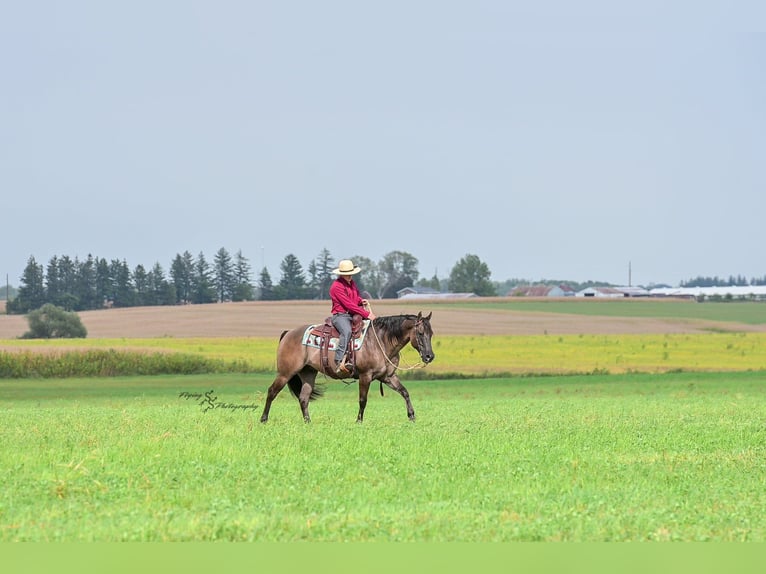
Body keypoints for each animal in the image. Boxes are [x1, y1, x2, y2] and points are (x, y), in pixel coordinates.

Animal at [259, 312, 434, 423]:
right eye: (420, 333)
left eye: (431, 334)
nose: (429, 356)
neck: (381, 341)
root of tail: (288, 333)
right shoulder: (365, 376)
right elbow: (363, 400)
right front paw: (359, 421)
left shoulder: (388, 377)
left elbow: (405, 392)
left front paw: (411, 416)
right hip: (286, 372)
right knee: (272, 392)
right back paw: (263, 419)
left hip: (308, 373)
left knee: (303, 398)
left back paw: (308, 422)